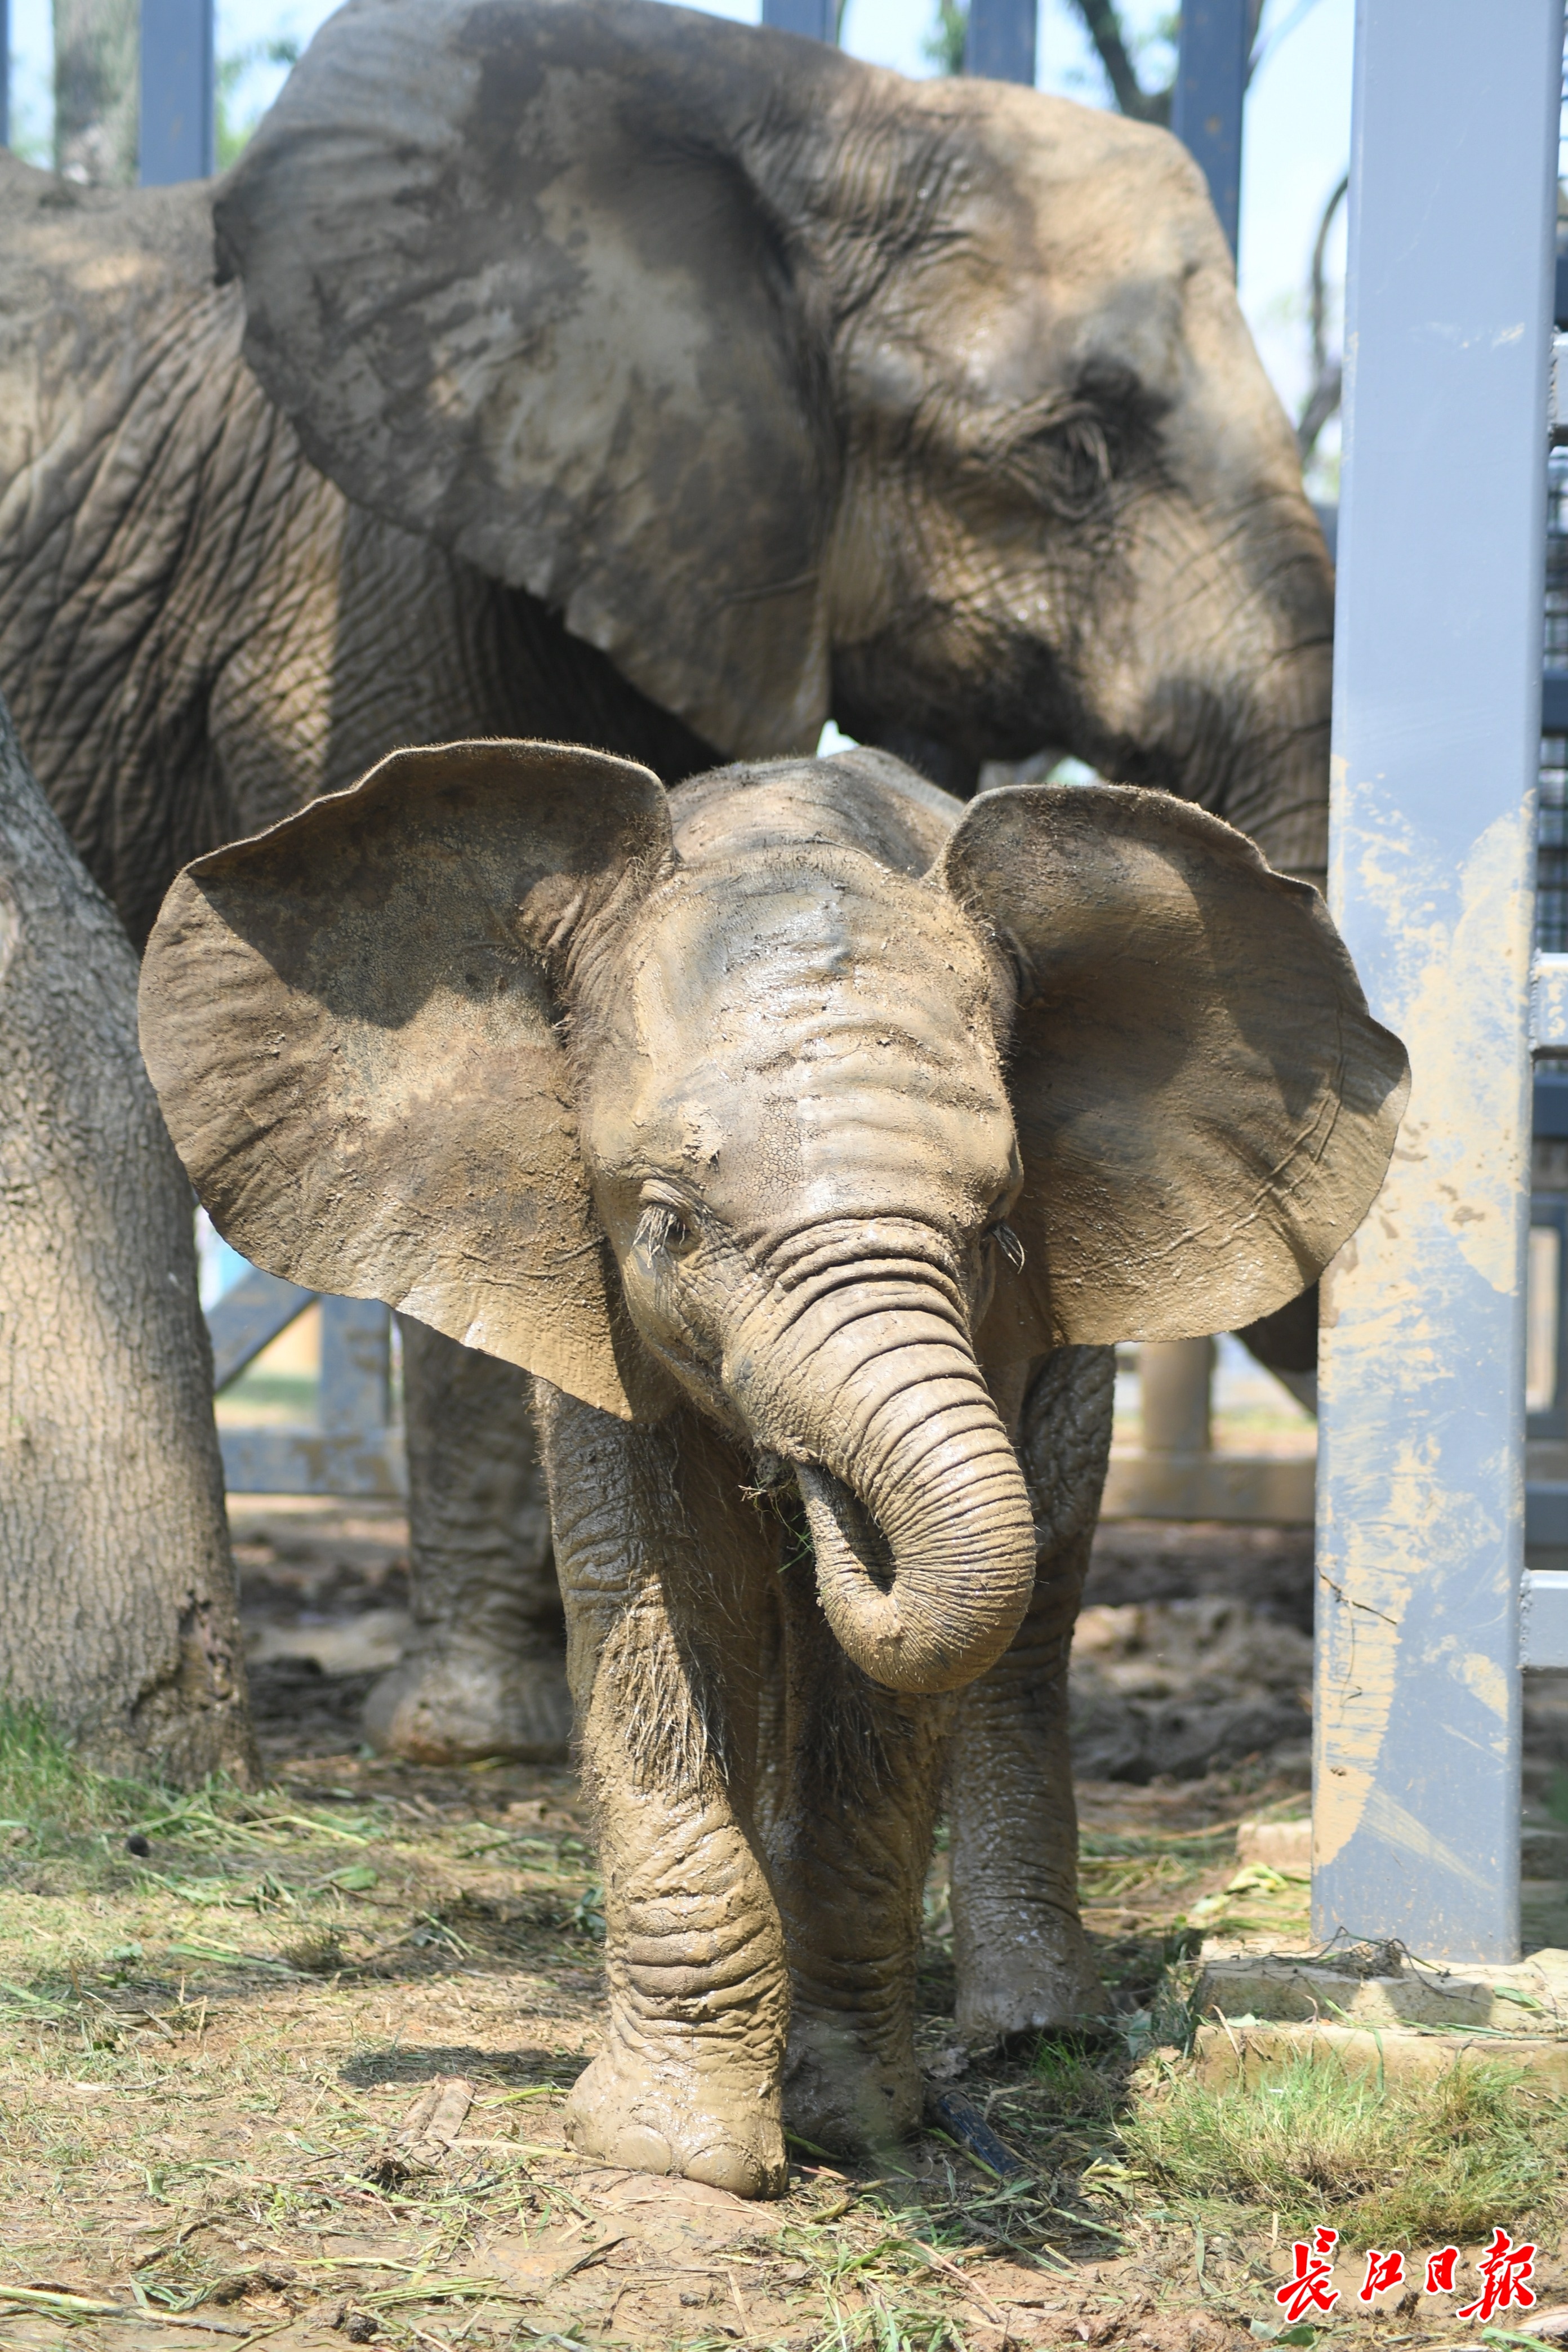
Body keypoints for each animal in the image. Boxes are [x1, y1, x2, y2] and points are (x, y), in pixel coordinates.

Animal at [141, 733, 1401, 2182]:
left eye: (998, 1225)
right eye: (671, 1224)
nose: (814, 1486)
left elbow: (892, 1677)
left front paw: (849, 2119)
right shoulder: (584, 1287)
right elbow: (660, 1602)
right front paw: (673, 2152)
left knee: (1025, 1620)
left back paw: (1035, 2029)